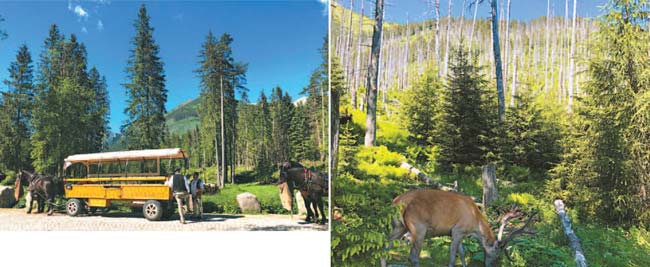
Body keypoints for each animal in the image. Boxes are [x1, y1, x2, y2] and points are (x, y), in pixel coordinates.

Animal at [378, 189, 536, 267]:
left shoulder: (459, 234)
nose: (492, 265)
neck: (475, 225)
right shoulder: (457, 230)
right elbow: (453, 257)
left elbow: (462, 253)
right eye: (497, 254)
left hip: (399, 226)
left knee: (385, 245)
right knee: (413, 257)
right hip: (418, 227)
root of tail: (397, 202)